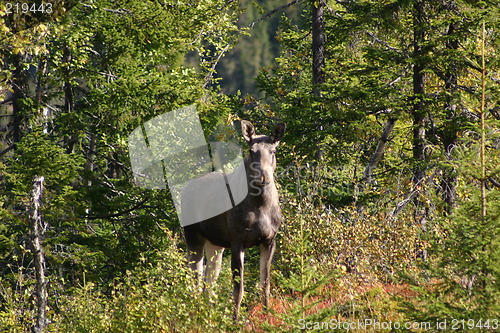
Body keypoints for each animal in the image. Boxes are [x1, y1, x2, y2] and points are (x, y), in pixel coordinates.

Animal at [183, 120, 286, 320]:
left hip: (215, 245)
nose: (263, 176)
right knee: (195, 279)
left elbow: (265, 283)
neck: (260, 205)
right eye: (251, 150)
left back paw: (207, 316)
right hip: (193, 237)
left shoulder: (270, 240)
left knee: (209, 282)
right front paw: (235, 320)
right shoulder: (237, 241)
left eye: (273, 151)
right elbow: (238, 289)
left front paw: (267, 315)